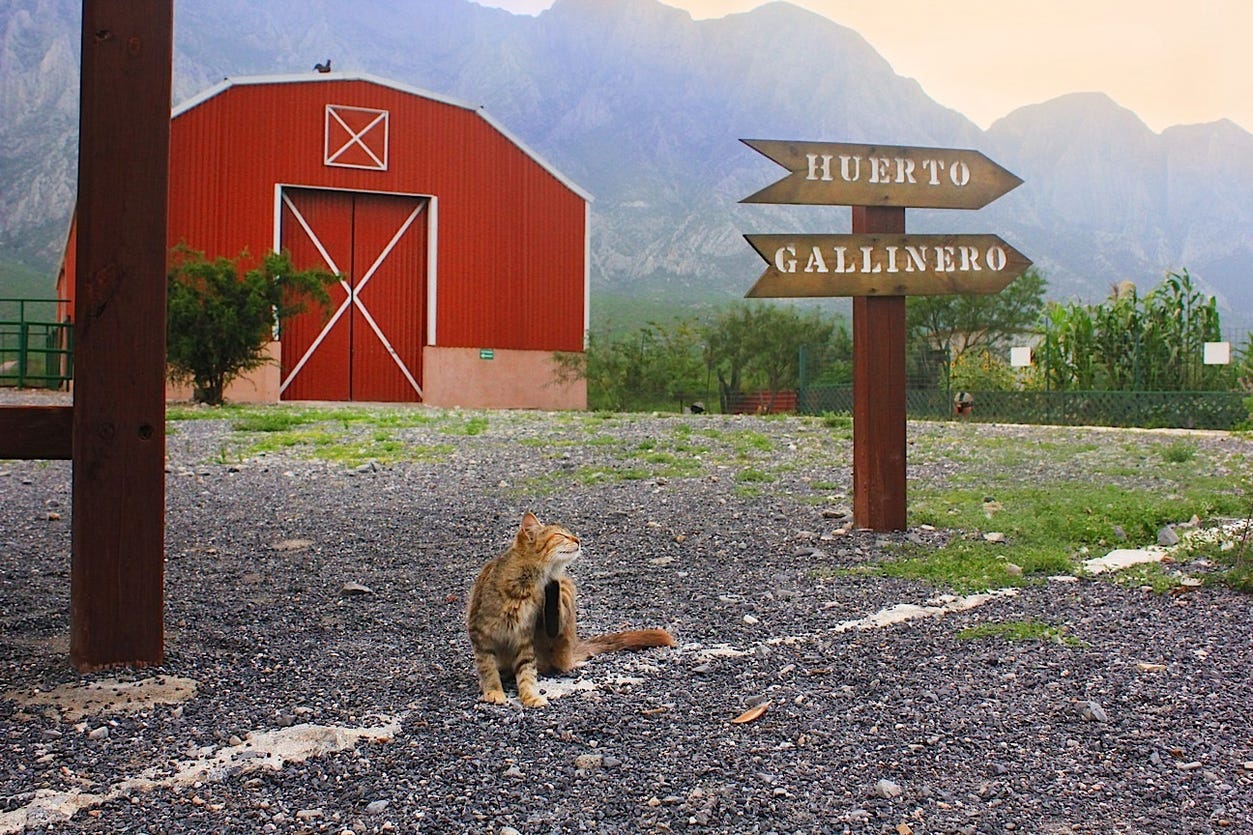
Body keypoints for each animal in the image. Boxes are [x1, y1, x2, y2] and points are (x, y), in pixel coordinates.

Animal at [466, 506, 676, 702]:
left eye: (570, 534)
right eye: (561, 535)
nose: (578, 540)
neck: (527, 584)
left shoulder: (524, 637)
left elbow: (526, 673)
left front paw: (530, 696)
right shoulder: (480, 634)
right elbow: (487, 668)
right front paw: (494, 691)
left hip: (564, 595)